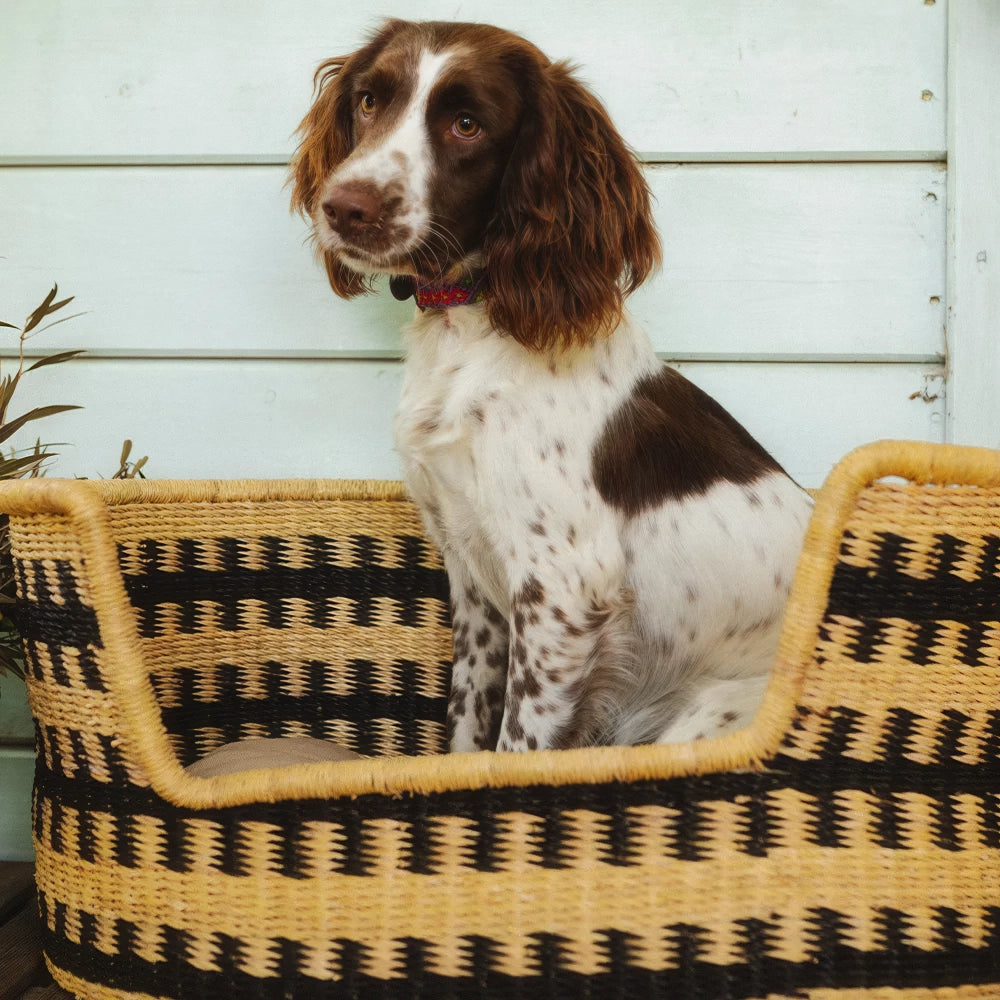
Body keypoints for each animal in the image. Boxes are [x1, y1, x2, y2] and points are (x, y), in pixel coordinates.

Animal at [290, 17, 812, 752]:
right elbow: (465, 730)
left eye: (468, 124)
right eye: (369, 101)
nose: (343, 208)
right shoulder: (473, 578)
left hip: (707, 717)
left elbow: (516, 747)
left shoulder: (560, 590)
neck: (470, 329)